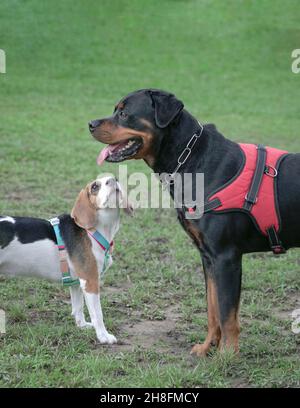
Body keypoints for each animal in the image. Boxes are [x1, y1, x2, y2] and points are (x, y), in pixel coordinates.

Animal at [0, 175, 132, 344]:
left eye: (114, 178)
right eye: (95, 187)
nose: (113, 179)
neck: (93, 230)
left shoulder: (76, 282)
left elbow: (78, 307)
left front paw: (82, 325)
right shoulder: (90, 281)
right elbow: (98, 314)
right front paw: (104, 336)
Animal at [88, 88, 300, 354]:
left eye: (124, 113)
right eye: (115, 110)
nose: (90, 124)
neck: (191, 162)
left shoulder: (226, 257)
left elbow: (228, 315)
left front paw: (226, 356)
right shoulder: (208, 256)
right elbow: (213, 309)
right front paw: (207, 347)